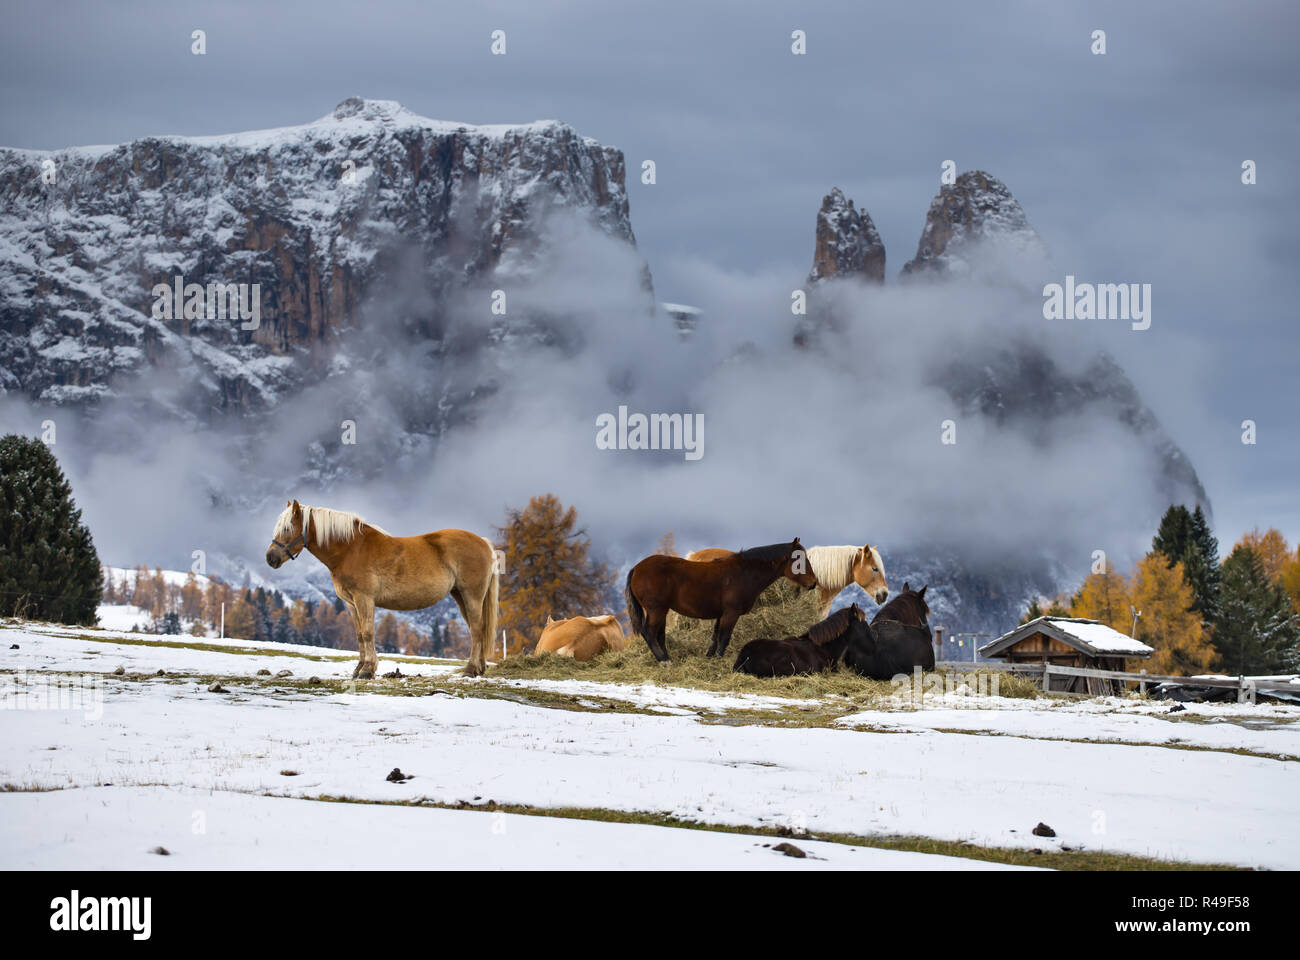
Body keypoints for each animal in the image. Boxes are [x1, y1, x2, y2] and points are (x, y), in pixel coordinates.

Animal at [265, 500, 499, 678]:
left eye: (287, 529)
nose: (270, 558)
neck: (350, 549)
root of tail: (484, 543)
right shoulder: (351, 603)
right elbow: (360, 635)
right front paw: (359, 669)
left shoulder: (364, 599)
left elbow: (368, 633)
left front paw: (367, 670)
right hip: (460, 596)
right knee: (476, 629)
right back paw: (479, 668)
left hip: (472, 595)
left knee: (476, 629)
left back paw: (470, 669)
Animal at [625, 538, 818, 662]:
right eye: (798, 559)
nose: (813, 583)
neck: (744, 572)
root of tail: (636, 568)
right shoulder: (731, 613)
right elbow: (724, 638)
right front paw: (718, 660)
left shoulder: (721, 614)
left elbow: (715, 637)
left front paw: (710, 658)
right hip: (656, 610)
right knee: (649, 633)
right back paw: (664, 659)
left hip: (661, 611)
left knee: (659, 635)